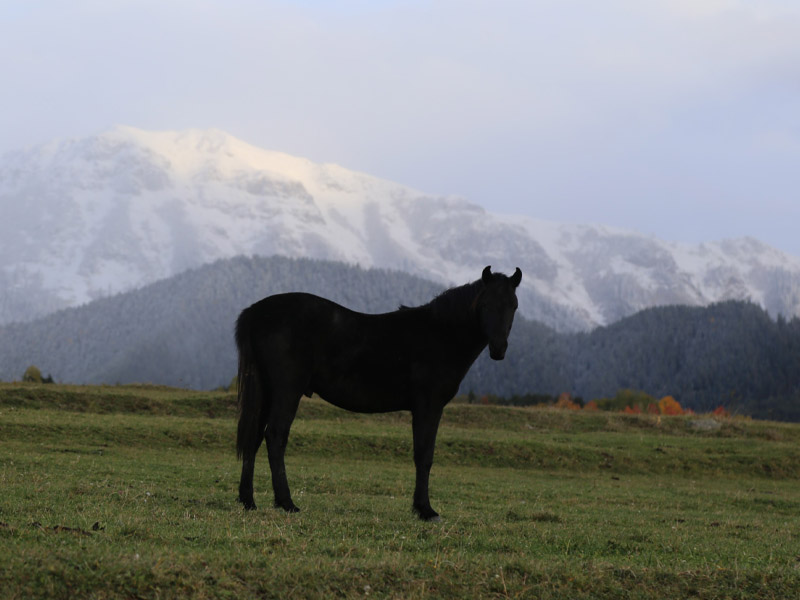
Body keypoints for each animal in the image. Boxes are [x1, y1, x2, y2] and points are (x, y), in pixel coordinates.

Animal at [234, 264, 520, 516]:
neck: (440, 335)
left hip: (266, 391)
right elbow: (424, 455)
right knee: (275, 437)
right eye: (485, 304)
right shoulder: (428, 406)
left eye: (514, 306)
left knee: (254, 437)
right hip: (286, 391)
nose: (499, 349)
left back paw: (248, 501)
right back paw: (286, 503)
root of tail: (255, 312)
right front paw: (425, 510)